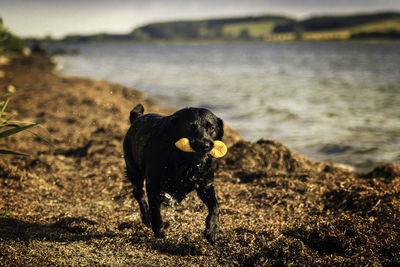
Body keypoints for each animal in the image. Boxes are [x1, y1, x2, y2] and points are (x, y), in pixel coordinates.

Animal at [123, 104, 223, 245]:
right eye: (190, 127)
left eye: (211, 128)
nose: (205, 145)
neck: (184, 161)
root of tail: (138, 118)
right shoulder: (154, 187)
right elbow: (156, 213)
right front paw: (159, 233)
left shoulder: (206, 186)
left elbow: (215, 206)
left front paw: (213, 229)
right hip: (134, 169)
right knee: (138, 192)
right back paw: (146, 217)